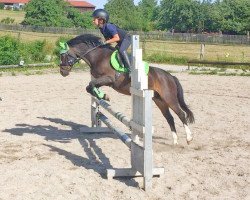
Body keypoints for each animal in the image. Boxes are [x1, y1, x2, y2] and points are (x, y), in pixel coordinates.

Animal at [59, 33, 195, 145]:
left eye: (63, 55)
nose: (62, 72)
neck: (98, 56)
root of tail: (170, 76)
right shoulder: (100, 80)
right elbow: (89, 87)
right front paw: (103, 96)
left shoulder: (109, 79)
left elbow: (91, 85)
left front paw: (105, 96)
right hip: (159, 100)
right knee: (170, 118)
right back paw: (175, 141)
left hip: (169, 98)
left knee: (181, 114)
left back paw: (189, 138)